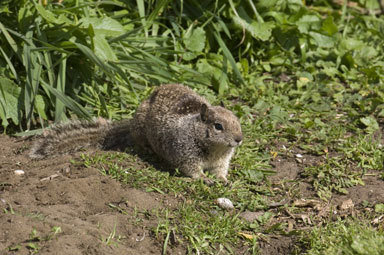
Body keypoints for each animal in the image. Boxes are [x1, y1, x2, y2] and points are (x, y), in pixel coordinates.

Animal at [30, 84, 242, 182]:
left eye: (237, 121)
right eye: (218, 126)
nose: (239, 139)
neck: (215, 149)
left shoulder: (222, 161)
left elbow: (220, 170)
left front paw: (224, 180)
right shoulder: (185, 151)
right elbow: (191, 169)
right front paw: (205, 179)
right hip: (141, 130)